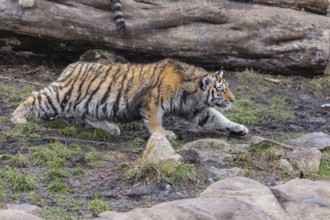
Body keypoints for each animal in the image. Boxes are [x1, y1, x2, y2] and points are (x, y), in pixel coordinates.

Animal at [10, 58, 248, 139]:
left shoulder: (196, 109)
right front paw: (164, 134)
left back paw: (112, 129)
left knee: (87, 116)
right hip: (61, 96)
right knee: (35, 95)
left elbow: (218, 118)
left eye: (227, 88)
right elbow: (155, 122)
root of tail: (71, 66)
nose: (233, 99)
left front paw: (238, 128)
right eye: (221, 90)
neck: (192, 90)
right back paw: (17, 118)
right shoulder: (153, 102)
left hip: (96, 103)